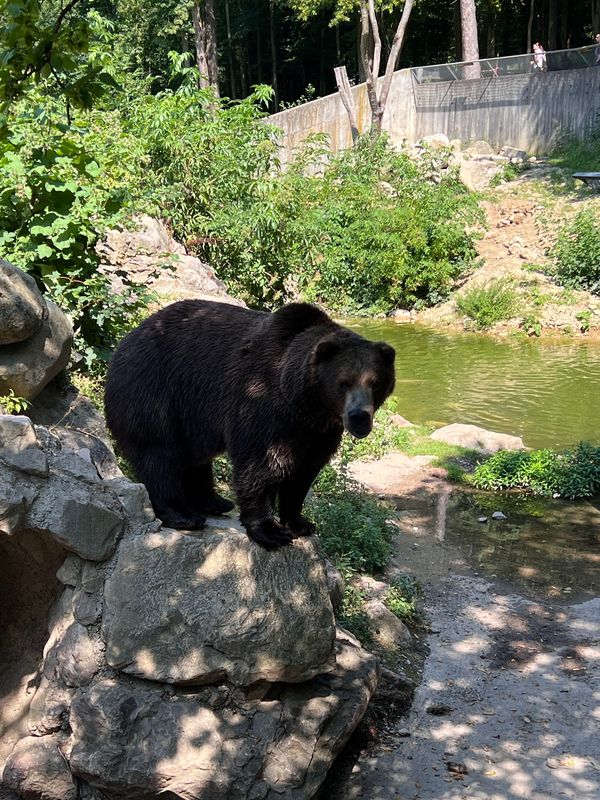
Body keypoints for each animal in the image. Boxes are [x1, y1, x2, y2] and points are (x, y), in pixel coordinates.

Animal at [105, 300, 396, 552]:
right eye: (343, 382)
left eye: (375, 382)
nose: (359, 417)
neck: (305, 405)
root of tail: (123, 343)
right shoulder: (261, 399)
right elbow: (261, 463)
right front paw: (270, 530)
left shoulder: (320, 432)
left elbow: (304, 472)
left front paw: (300, 522)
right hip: (154, 390)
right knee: (160, 453)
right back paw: (183, 514)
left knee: (195, 459)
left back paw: (214, 501)